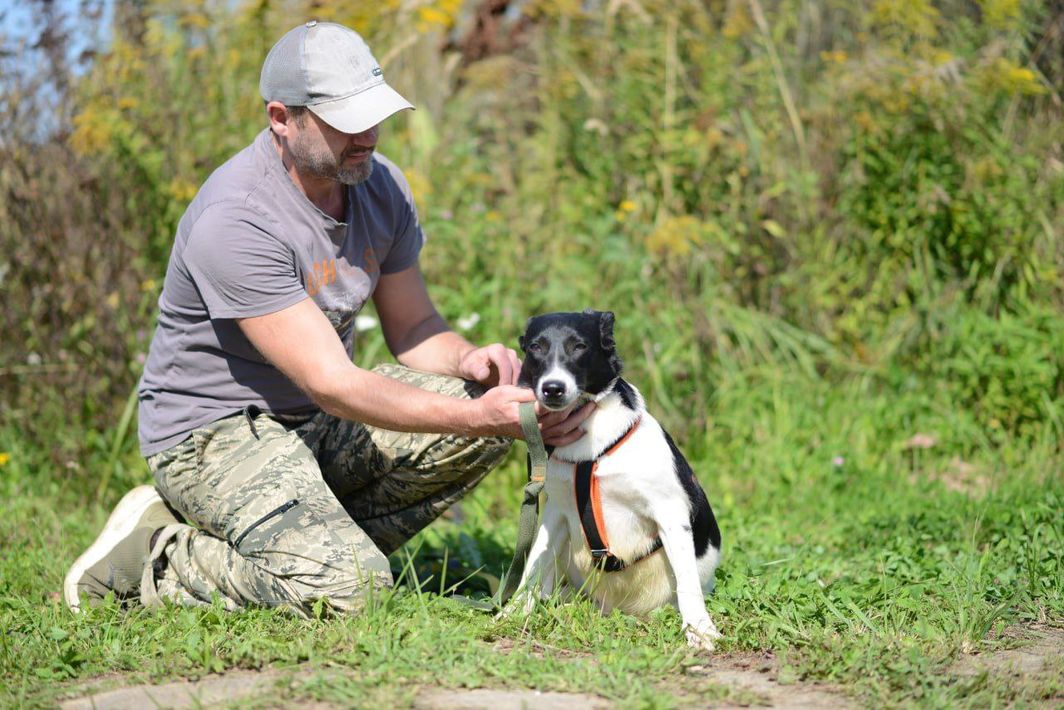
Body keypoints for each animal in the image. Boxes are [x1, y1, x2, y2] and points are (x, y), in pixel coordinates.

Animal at [510, 309, 722, 651]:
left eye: (579, 346)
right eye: (535, 348)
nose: (553, 388)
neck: (590, 454)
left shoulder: (670, 512)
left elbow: (687, 583)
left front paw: (700, 630)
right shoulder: (556, 512)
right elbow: (533, 566)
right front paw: (511, 613)